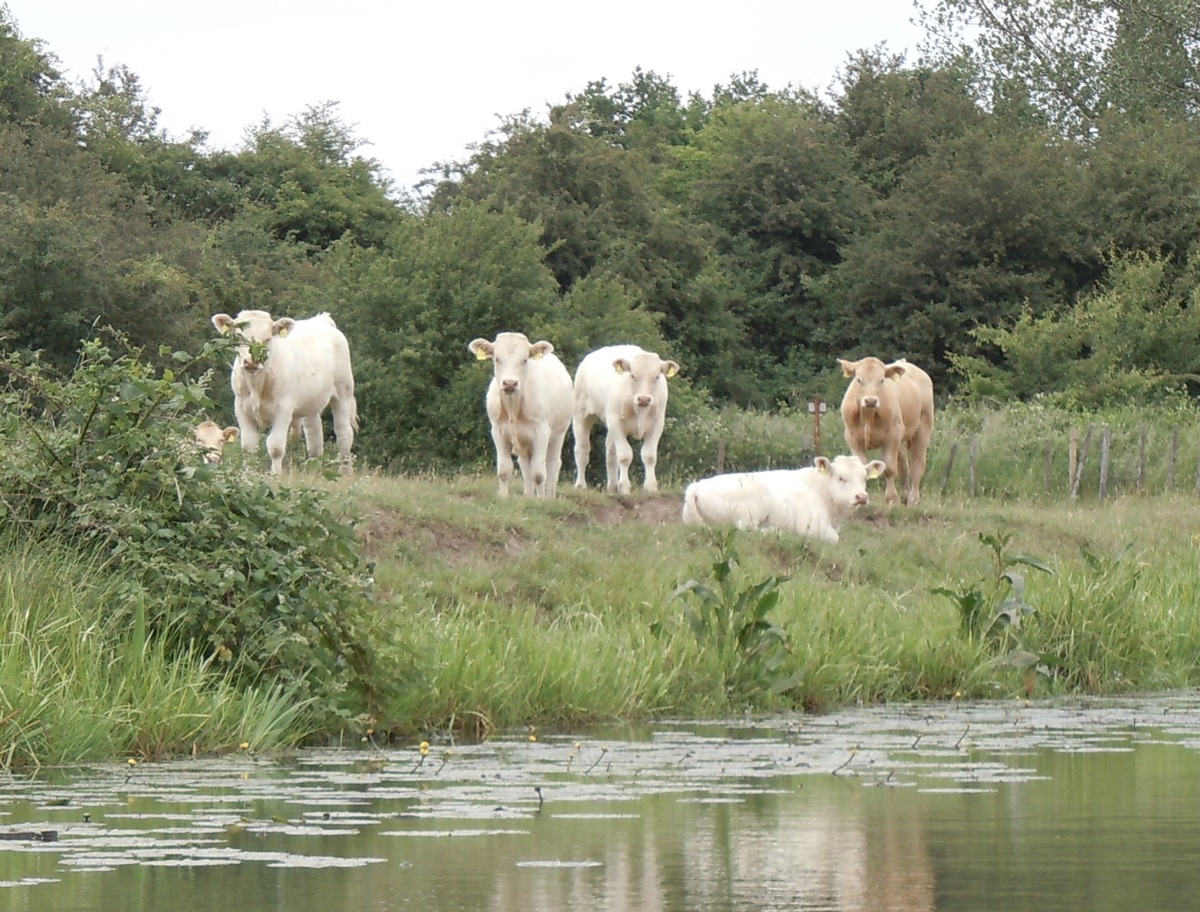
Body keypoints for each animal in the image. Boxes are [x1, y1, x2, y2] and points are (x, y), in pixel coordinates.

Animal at [208, 309, 357, 472]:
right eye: (239, 337)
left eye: (267, 339)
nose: (252, 361)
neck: (256, 385)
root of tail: (321, 320)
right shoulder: (241, 408)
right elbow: (248, 447)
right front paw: (247, 473)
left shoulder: (283, 409)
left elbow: (275, 447)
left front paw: (276, 474)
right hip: (311, 402)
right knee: (315, 437)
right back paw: (314, 471)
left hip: (343, 392)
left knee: (344, 435)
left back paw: (346, 472)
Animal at [465, 331, 573, 499]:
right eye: (497, 358)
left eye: (525, 360)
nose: (510, 383)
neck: (512, 407)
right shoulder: (497, 431)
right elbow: (504, 469)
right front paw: (503, 497)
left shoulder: (541, 432)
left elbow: (539, 473)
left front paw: (541, 501)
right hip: (523, 442)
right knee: (525, 465)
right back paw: (528, 496)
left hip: (559, 433)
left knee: (553, 464)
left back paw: (549, 497)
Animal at [573, 345, 681, 494]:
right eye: (633, 375)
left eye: (657, 377)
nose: (644, 398)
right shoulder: (616, 423)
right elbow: (625, 456)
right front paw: (624, 487)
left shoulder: (657, 424)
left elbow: (649, 456)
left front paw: (650, 487)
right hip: (581, 414)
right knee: (582, 448)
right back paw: (580, 485)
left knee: (611, 450)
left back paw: (612, 486)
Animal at [681, 453, 888, 542]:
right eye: (841, 478)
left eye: (864, 479)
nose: (861, 496)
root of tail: (696, 486)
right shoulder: (812, 527)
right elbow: (834, 538)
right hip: (753, 507)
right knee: (744, 529)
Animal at [840, 355, 931, 506]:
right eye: (859, 379)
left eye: (882, 380)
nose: (870, 400)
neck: (868, 416)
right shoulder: (851, 436)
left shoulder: (892, 436)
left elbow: (889, 468)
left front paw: (891, 499)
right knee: (903, 464)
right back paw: (905, 496)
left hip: (923, 427)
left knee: (917, 465)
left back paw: (913, 500)